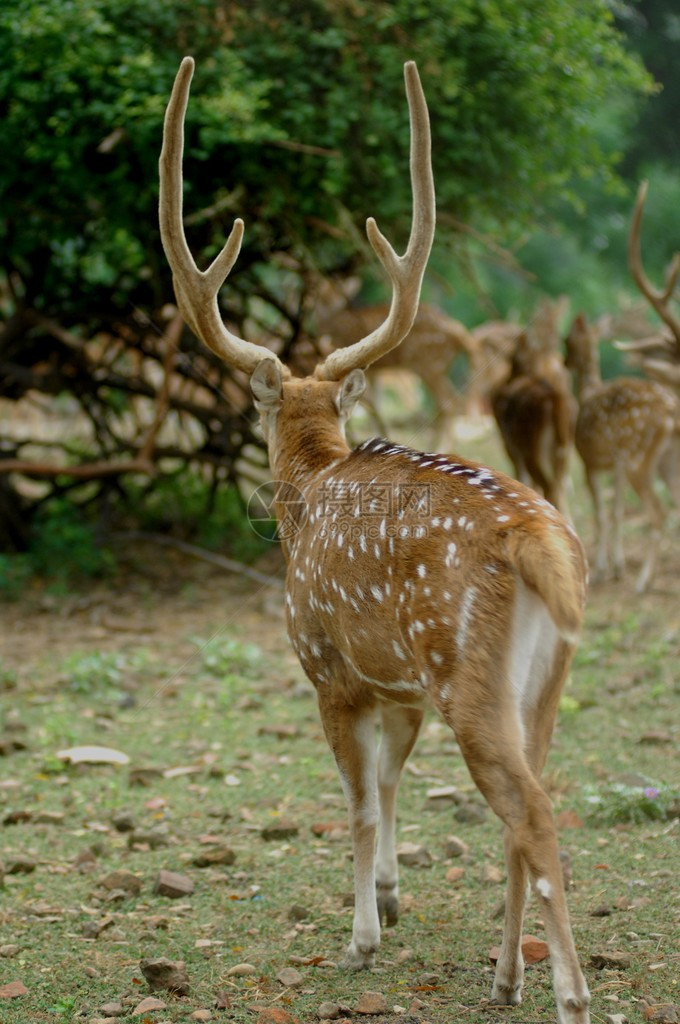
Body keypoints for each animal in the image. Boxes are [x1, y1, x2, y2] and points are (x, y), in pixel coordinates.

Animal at [157, 56, 589, 1024]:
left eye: (259, 407)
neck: (307, 493)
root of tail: (539, 536)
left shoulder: (329, 665)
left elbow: (356, 802)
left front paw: (359, 938)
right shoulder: (400, 687)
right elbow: (391, 785)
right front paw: (391, 898)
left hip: (465, 671)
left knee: (532, 813)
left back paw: (570, 992)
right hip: (541, 681)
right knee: (532, 802)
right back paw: (504, 977)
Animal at [561, 311, 680, 593]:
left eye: (566, 340)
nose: (565, 362)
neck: (587, 392)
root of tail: (672, 413)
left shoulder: (588, 461)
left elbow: (602, 515)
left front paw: (602, 570)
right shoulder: (616, 467)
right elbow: (616, 513)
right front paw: (618, 566)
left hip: (637, 458)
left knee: (659, 512)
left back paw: (643, 582)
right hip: (666, 462)